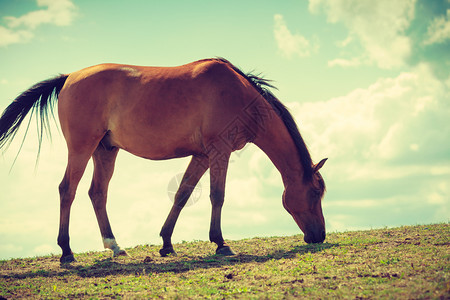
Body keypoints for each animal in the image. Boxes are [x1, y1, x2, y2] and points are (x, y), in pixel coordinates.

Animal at [1, 58, 328, 262]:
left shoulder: (202, 155)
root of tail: (69, 77)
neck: (239, 95)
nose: (320, 236)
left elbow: (183, 193)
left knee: (97, 193)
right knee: (67, 190)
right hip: (81, 148)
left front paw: (166, 244)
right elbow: (217, 196)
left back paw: (114, 246)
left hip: (104, 151)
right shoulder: (219, 152)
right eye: (315, 192)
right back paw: (67, 252)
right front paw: (221, 243)